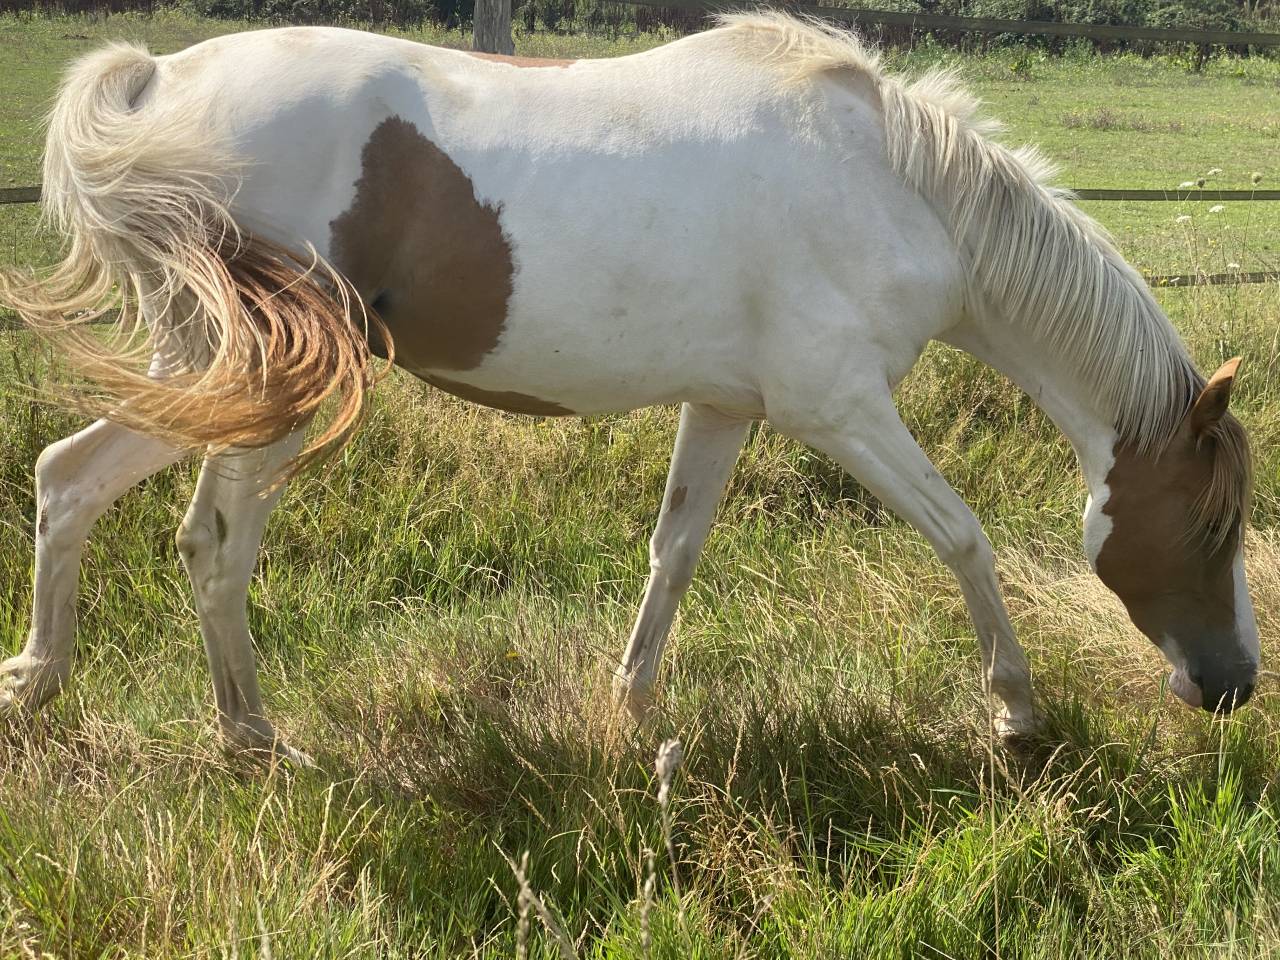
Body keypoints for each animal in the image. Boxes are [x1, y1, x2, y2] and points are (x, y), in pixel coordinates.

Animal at [0, 14, 1257, 764]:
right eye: (1212, 525)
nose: (1233, 687)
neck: (894, 187)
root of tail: (161, 81)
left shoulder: (726, 407)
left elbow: (674, 553)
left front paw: (635, 705)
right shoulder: (840, 410)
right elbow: (960, 536)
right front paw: (1014, 708)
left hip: (209, 375)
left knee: (75, 482)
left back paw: (62, 692)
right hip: (275, 389)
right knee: (213, 545)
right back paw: (252, 739)